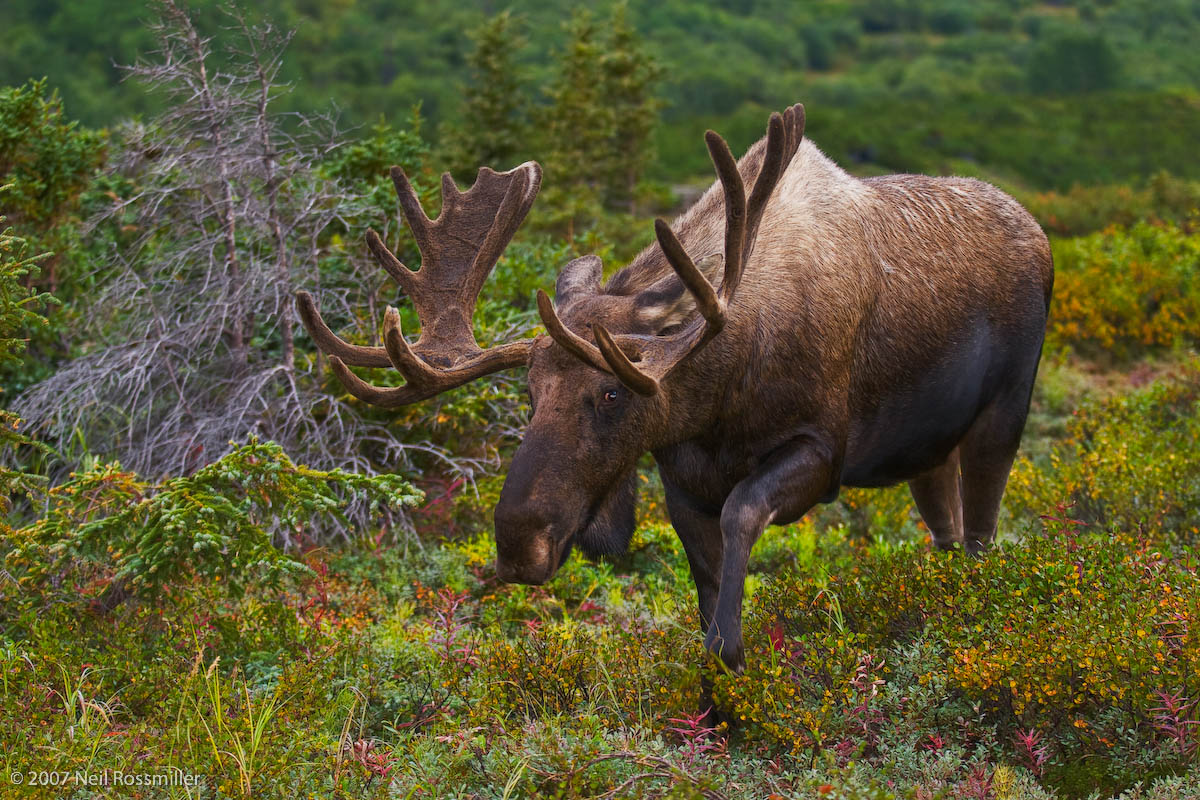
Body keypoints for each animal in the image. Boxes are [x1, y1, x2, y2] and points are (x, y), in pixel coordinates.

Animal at [296, 103, 1053, 721]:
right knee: (947, 531)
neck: (718, 395)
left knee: (982, 533)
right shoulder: (680, 478)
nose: (516, 543)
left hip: (1002, 415)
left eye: (611, 392)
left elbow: (744, 513)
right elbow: (704, 577)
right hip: (927, 450)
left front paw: (731, 656)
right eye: (530, 395)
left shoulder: (820, 450)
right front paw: (714, 699)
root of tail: (1039, 231)